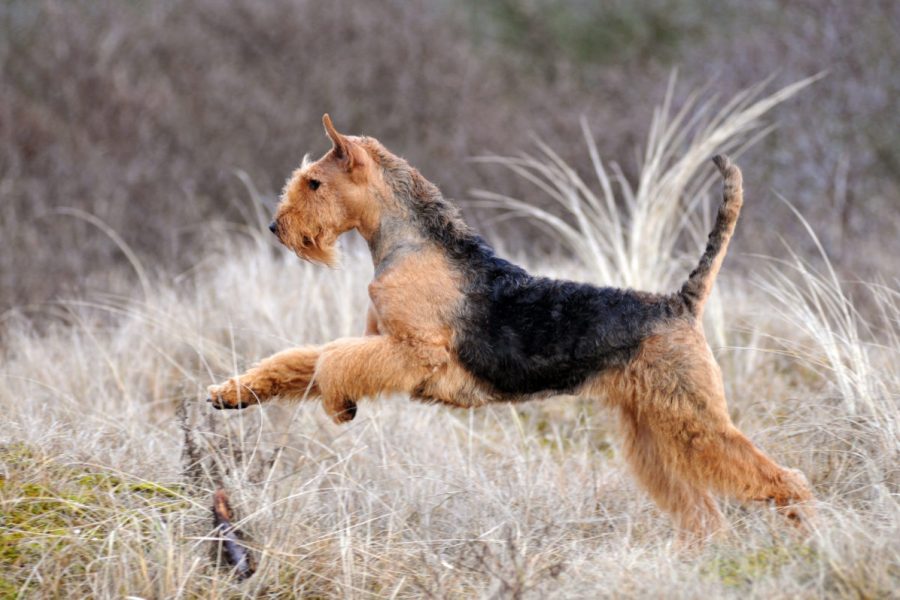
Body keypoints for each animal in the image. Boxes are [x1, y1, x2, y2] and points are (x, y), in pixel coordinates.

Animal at [209, 113, 816, 544]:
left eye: (313, 182)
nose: (276, 227)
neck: (411, 243)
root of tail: (680, 303)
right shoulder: (382, 342)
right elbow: (302, 360)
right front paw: (229, 394)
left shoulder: (414, 353)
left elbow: (334, 360)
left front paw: (340, 405)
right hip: (653, 433)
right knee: (704, 512)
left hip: (695, 421)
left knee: (783, 480)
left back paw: (808, 538)